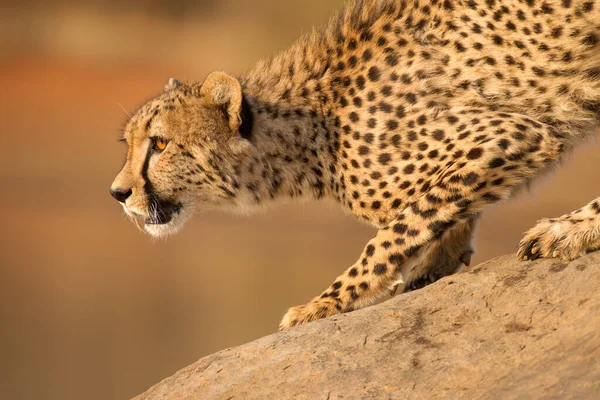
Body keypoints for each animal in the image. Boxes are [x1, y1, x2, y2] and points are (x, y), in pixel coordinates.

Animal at [109, 0, 600, 330]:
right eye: (129, 143)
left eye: (160, 143)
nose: (118, 193)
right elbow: (437, 220)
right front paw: (439, 260)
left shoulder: (515, 132)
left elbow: (393, 232)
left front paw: (325, 303)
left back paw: (566, 230)